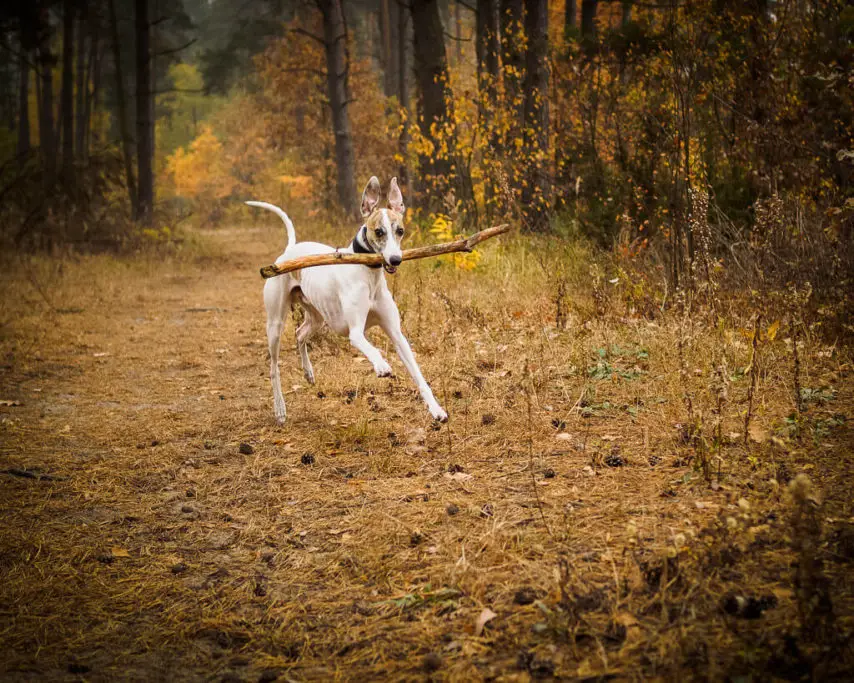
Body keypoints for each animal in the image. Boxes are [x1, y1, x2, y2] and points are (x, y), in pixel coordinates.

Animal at [247, 175, 448, 428]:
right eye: (379, 232)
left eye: (400, 230)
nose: (395, 260)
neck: (368, 273)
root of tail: (289, 250)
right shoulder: (355, 332)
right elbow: (370, 346)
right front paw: (382, 365)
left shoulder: (396, 334)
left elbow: (418, 375)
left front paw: (436, 409)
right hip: (275, 323)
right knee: (274, 368)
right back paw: (280, 409)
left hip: (317, 316)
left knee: (300, 333)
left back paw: (308, 372)